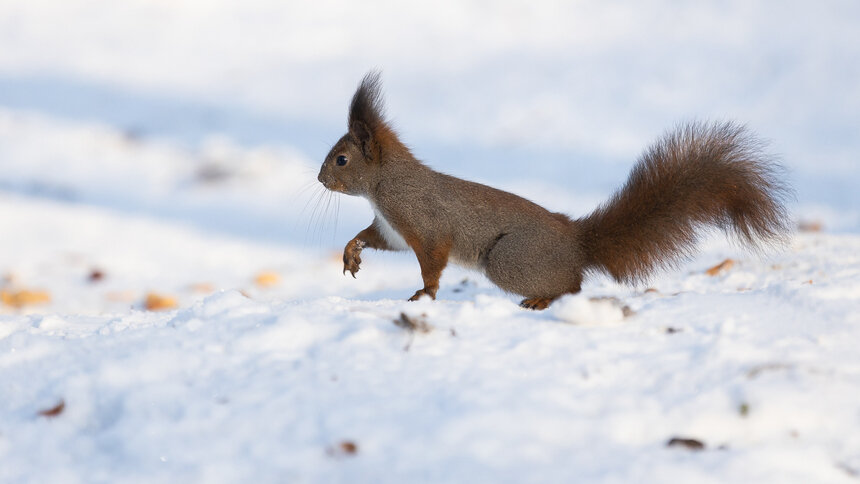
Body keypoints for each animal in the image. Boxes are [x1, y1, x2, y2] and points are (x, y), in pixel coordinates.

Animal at [318, 71, 792, 310]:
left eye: (341, 160)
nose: (321, 180)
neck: (385, 185)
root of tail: (577, 243)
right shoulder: (393, 227)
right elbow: (374, 237)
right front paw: (352, 251)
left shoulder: (423, 221)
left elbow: (433, 260)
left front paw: (426, 294)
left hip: (509, 260)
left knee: (574, 286)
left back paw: (543, 299)